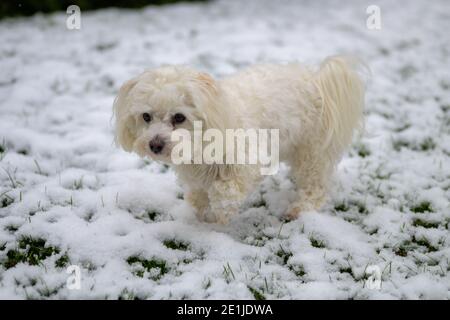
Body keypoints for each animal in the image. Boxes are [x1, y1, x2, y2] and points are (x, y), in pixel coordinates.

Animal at [112, 55, 366, 225]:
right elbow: (198, 195)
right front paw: (201, 214)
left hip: (311, 151)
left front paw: (221, 214)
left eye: (179, 117)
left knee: (315, 186)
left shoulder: (248, 160)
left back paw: (300, 208)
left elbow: (226, 190)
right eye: (146, 117)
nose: (154, 145)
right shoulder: (195, 176)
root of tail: (316, 80)